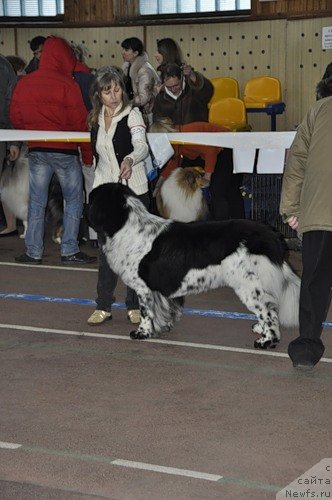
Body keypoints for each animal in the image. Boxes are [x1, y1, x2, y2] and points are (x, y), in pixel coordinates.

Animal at [89, 182, 300, 350]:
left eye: (92, 199)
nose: (86, 208)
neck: (127, 226)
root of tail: (271, 236)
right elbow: (166, 309)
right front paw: (165, 326)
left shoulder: (144, 288)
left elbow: (146, 312)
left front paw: (142, 333)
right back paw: (259, 329)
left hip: (248, 284)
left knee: (268, 311)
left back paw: (266, 341)